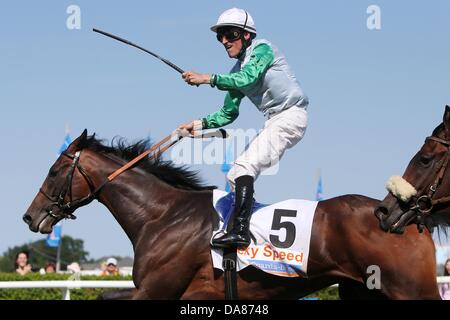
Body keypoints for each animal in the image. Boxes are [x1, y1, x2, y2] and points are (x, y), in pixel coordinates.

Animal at [22, 129, 440, 298]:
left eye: (54, 171)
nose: (30, 216)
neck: (162, 215)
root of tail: (404, 216)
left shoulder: (155, 290)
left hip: (410, 289)